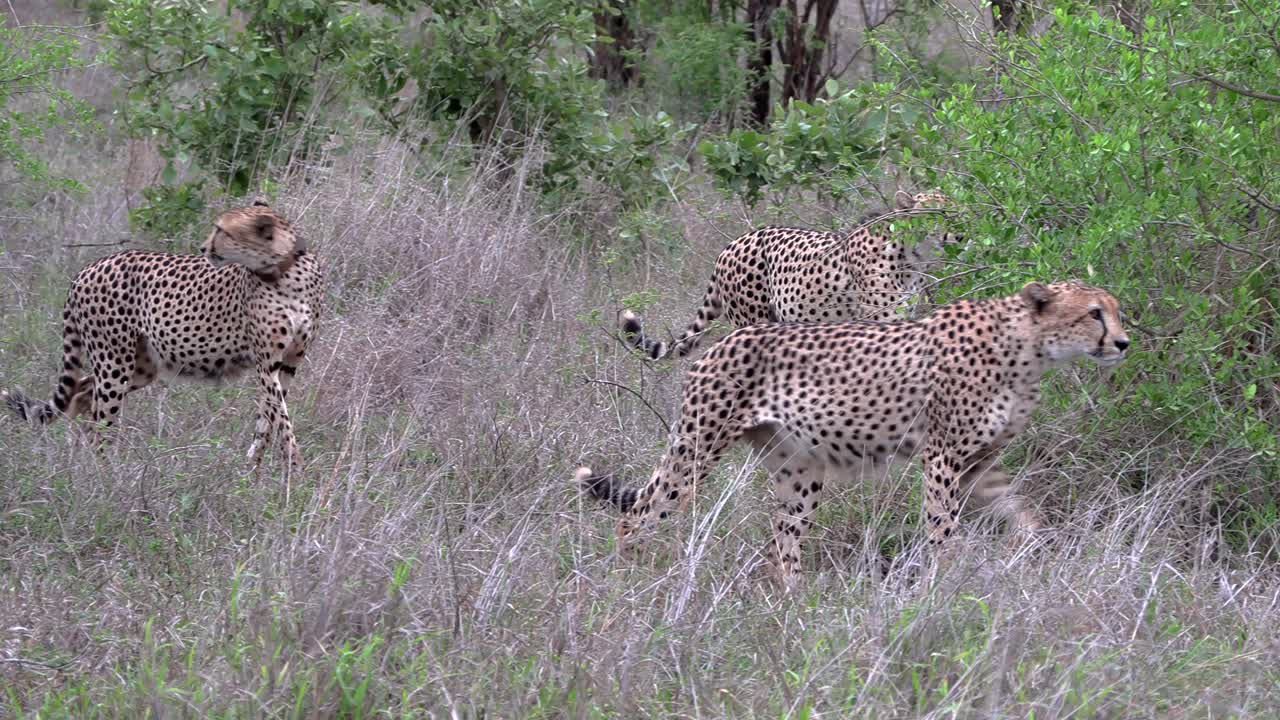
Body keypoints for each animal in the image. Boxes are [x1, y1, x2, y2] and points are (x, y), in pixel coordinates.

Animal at [4, 202, 323, 469]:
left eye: (221, 230)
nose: (202, 247)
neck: (285, 270)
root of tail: (90, 266)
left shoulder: (289, 362)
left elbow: (268, 417)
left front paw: (255, 471)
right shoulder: (265, 362)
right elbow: (280, 417)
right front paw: (294, 470)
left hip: (140, 366)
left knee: (82, 394)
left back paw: (80, 465)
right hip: (114, 361)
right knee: (100, 418)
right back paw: (104, 476)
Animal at [579, 280, 1131, 585]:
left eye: (1115, 309)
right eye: (1094, 313)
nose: (1124, 343)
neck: (1029, 348)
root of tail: (726, 339)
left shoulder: (979, 464)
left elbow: (1021, 512)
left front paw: (1043, 556)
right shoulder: (943, 457)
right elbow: (942, 527)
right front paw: (947, 581)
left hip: (799, 468)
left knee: (783, 545)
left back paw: (797, 607)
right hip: (698, 446)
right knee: (640, 512)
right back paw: (627, 581)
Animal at [621, 190, 962, 361]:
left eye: (957, 209)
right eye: (938, 214)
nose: (959, 233)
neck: (911, 256)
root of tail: (733, 242)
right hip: (753, 324)